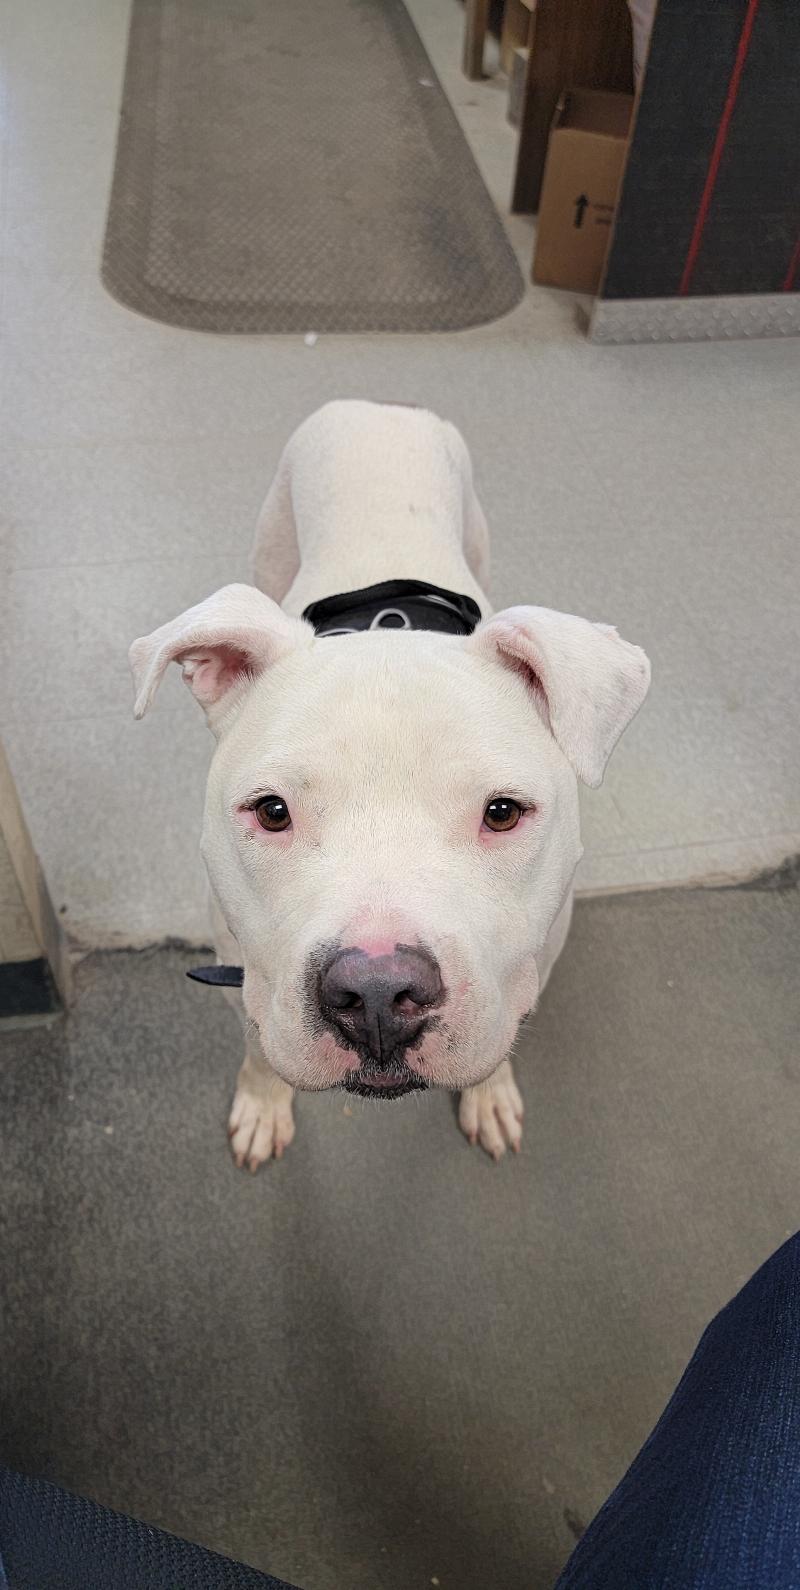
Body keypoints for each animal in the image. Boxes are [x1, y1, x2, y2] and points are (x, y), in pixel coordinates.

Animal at [130, 400, 650, 1169]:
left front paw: (490, 1096)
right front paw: (261, 1105)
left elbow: (503, 1036)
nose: (376, 993)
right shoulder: (241, 978)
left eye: (502, 812)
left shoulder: (531, 970)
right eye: (272, 811)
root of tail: (377, 407)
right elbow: (257, 1049)